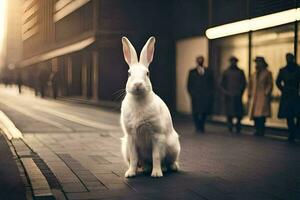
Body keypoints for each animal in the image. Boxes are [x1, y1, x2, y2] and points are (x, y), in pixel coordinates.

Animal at [119, 36, 180, 177]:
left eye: (147, 73)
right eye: (129, 74)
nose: (137, 84)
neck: (138, 99)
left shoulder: (157, 136)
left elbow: (156, 156)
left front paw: (156, 174)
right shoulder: (131, 138)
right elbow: (134, 158)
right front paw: (130, 174)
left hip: (174, 146)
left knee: (168, 161)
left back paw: (169, 168)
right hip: (125, 148)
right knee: (143, 162)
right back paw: (146, 169)